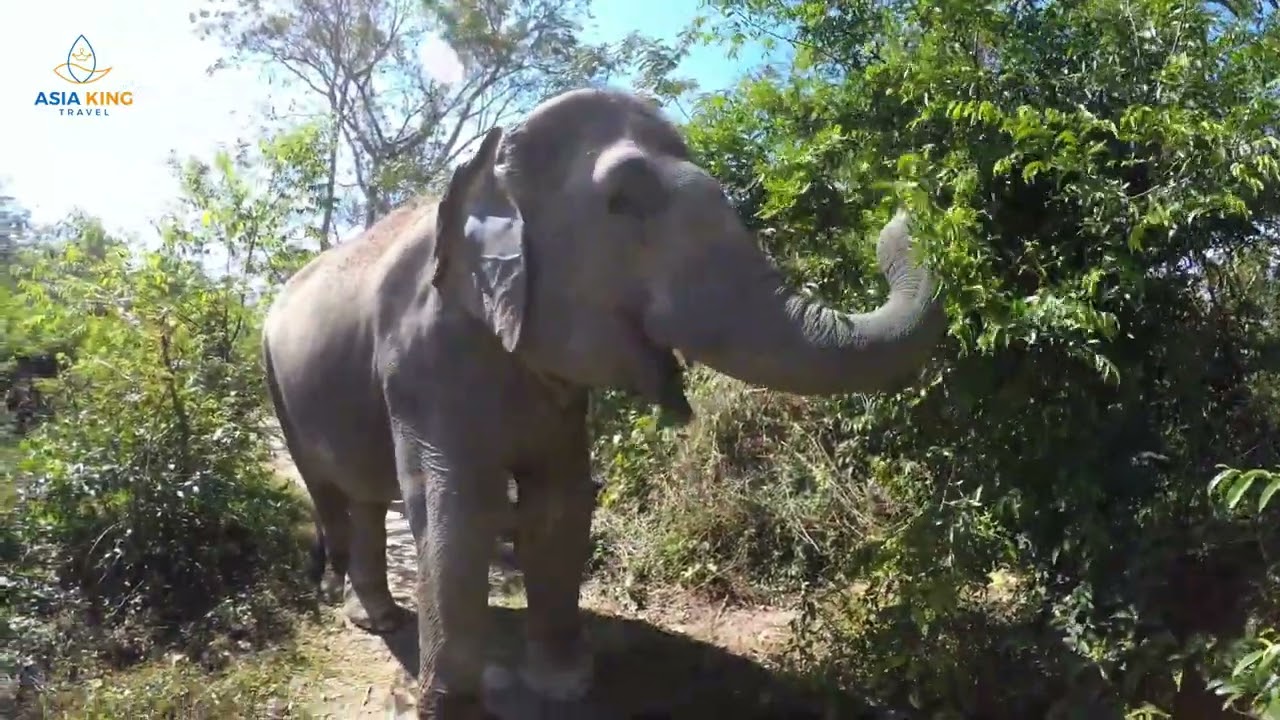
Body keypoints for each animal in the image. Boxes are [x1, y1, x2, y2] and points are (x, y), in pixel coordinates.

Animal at [262, 87, 952, 712]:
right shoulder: (420, 360)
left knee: (363, 498)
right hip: (278, 386)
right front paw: (447, 706)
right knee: (331, 494)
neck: (492, 168)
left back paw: (380, 618)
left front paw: (565, 685)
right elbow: (455, 506)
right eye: (623, 203)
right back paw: (367, 616)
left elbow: (560, 504)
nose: (903, 210)